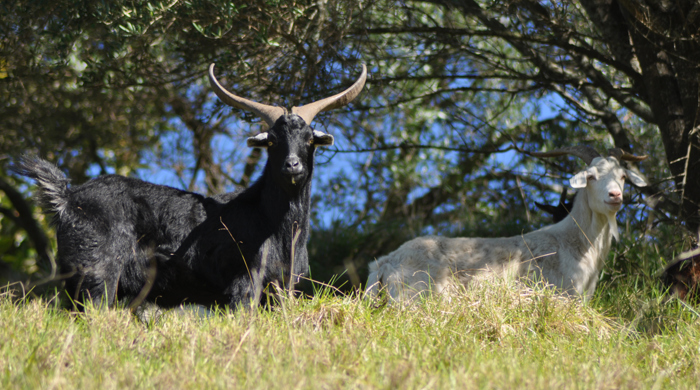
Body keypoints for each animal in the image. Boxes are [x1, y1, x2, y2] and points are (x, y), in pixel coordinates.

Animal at [15, 62, 366, 310]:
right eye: (273, 141)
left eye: (308, 139)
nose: (292, 166)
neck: (273, 222)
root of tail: (67, 198)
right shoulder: (244, 282)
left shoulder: (282, 288)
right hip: (97, 274)